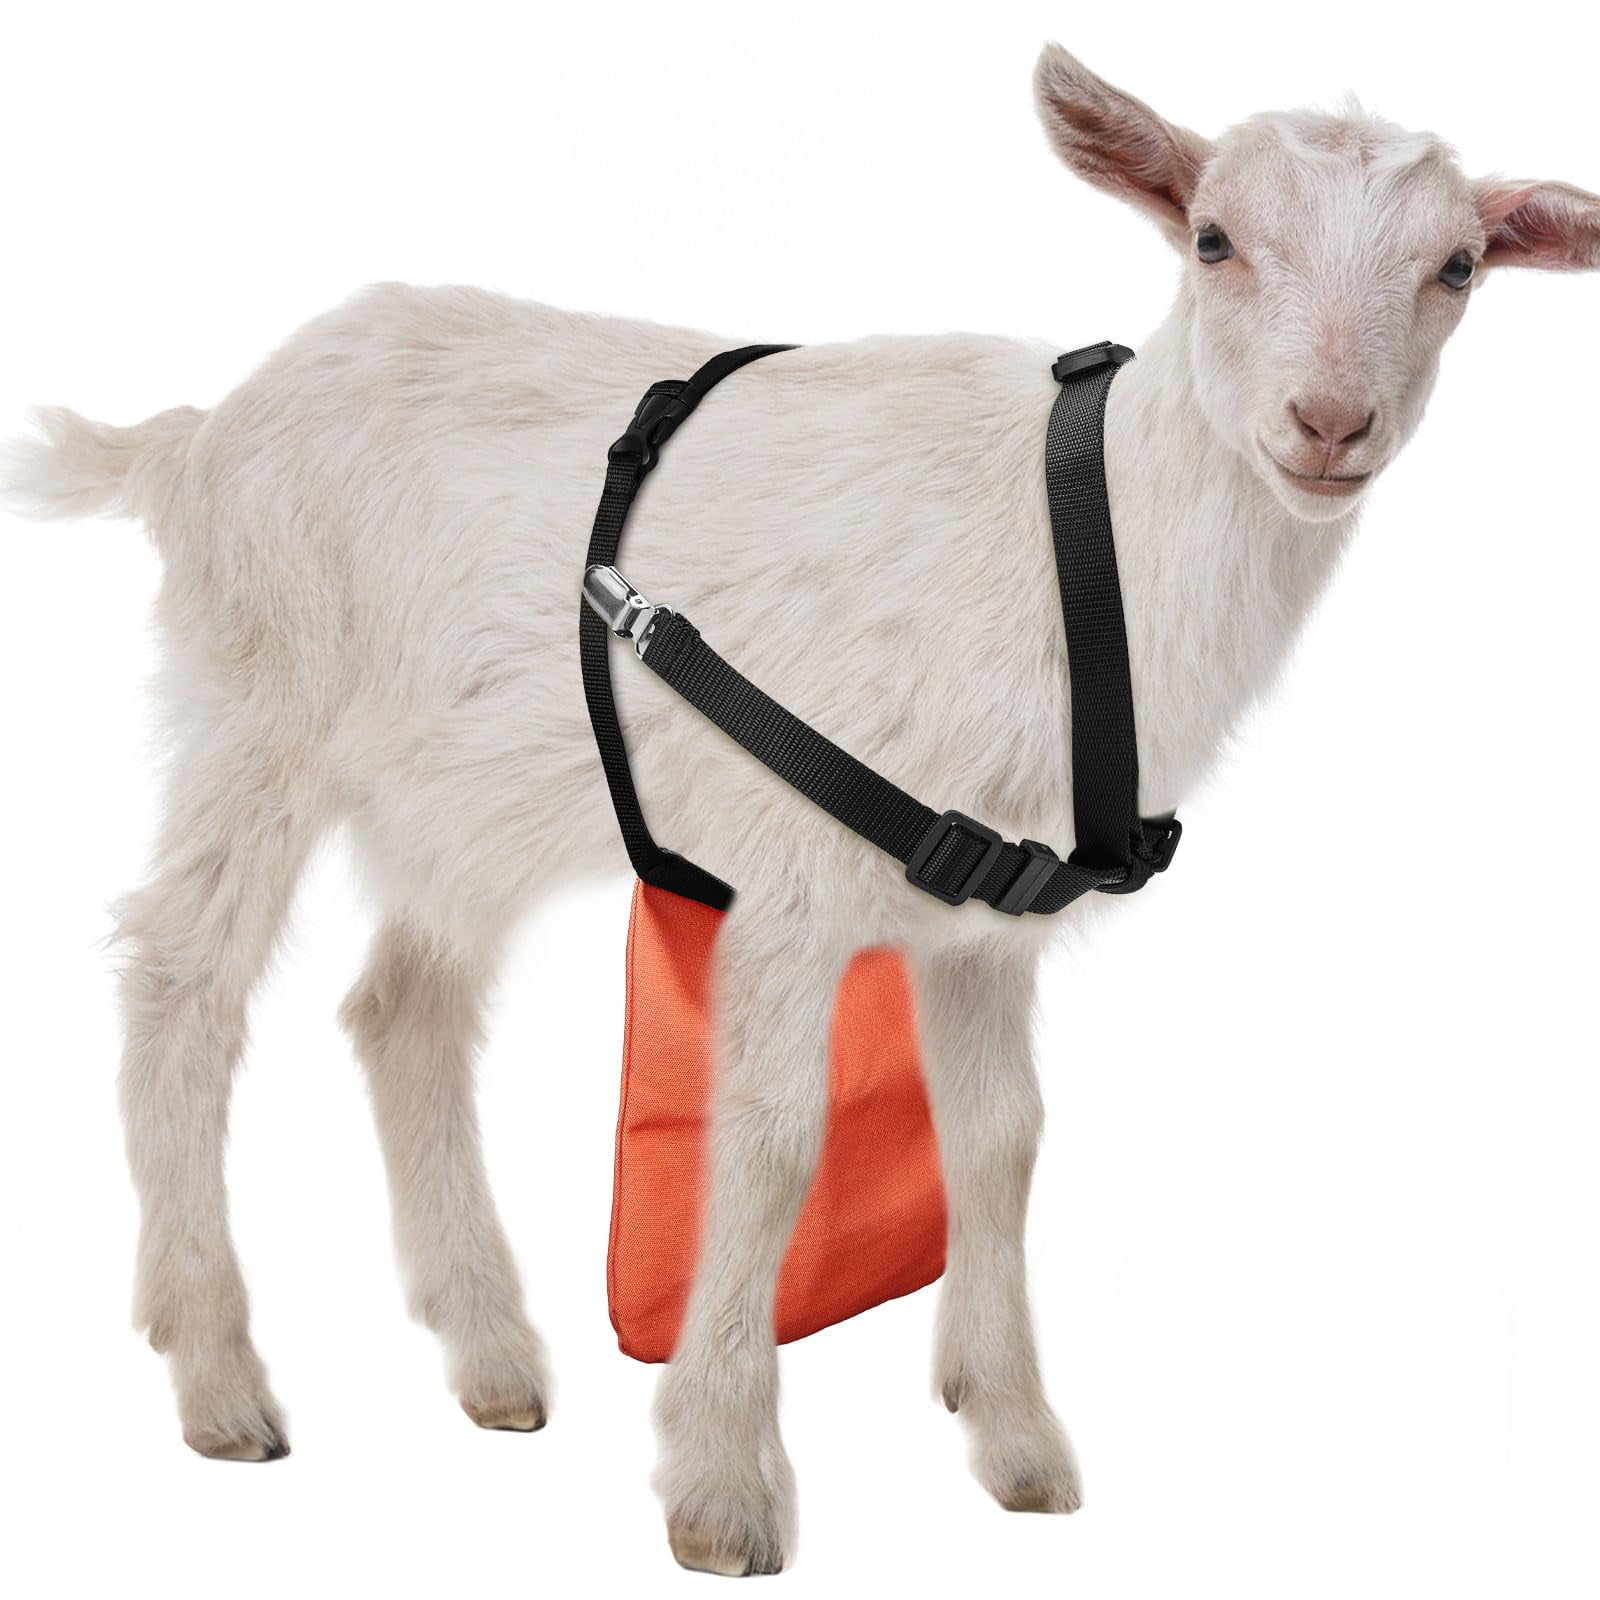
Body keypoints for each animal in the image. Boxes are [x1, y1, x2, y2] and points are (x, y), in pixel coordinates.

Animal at [6, 41, 1597, 1578]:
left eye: (1457, 267)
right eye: (1212, 238)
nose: (1330, 423)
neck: (1079, 548)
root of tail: (197, 434)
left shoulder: (983, 921)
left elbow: (1001, 1140)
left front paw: (1015, 1437)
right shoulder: (789, 875)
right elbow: (772, 1140)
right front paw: (721, 1487)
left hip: (461, 787)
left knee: (404, 1004)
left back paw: (492, 1357)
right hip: (256, 701)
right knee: (184, 979)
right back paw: (219, 1377)